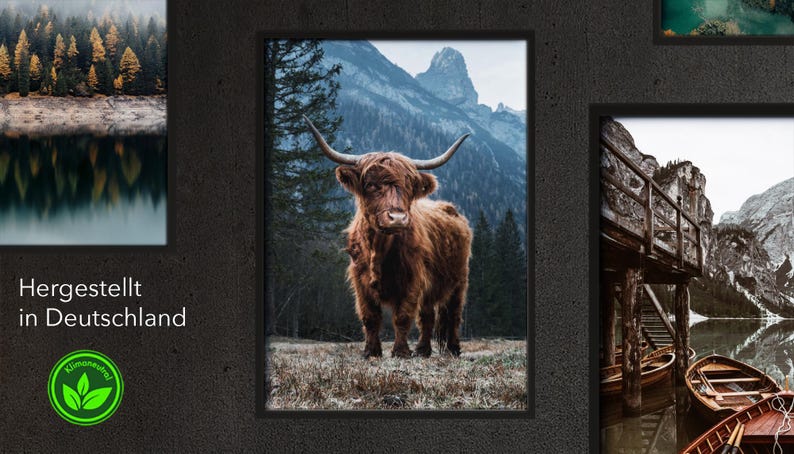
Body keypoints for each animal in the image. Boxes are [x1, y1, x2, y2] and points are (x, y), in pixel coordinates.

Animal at [304, 115, 472, 358]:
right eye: (370, 184)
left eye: (409, 186)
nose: (398, 218)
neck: (379, 249)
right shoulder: (360, 281)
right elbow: (370, 317)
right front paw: (371, 352)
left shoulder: (413, 279)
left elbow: (402, 317)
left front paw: (400, 351)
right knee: (428, 316)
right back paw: (423, 350)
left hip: (460, 280)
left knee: (454, 315)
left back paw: (453, 349)